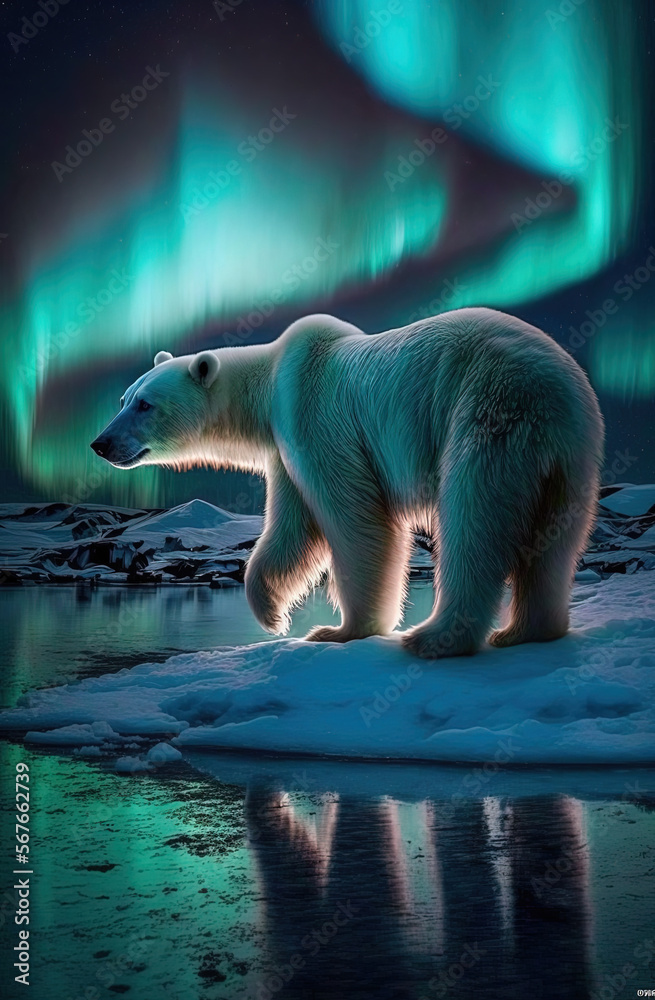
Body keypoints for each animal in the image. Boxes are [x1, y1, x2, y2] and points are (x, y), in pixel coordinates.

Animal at [91, 308, 604, 658]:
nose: (100, 443)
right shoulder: (285, 449)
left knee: (473, 522)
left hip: (486, 415)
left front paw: (340, 631)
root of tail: (550, 391)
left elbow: (355, 519)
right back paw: (526, 631)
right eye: (123, 398)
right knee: (555, 542)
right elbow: (291, 530)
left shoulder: (316, 418)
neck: (271, 380)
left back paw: (434, 638)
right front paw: (273, 615)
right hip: (572, 455)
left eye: (145, 404)